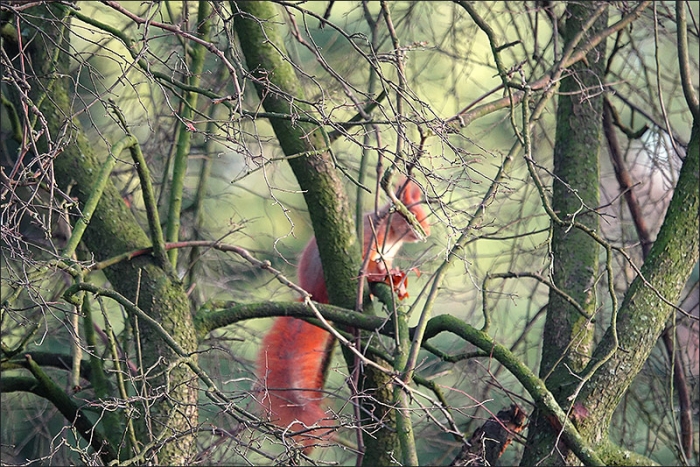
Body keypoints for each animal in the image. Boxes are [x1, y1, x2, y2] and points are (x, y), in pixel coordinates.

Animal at [256, 178, 431, 452]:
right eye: (409, 215)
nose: (426, 232)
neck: (392, 236)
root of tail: (313, 295)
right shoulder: (368, 241)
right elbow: (369, 266)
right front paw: (384, 277)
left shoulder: (387, 254)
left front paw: (396, 281)